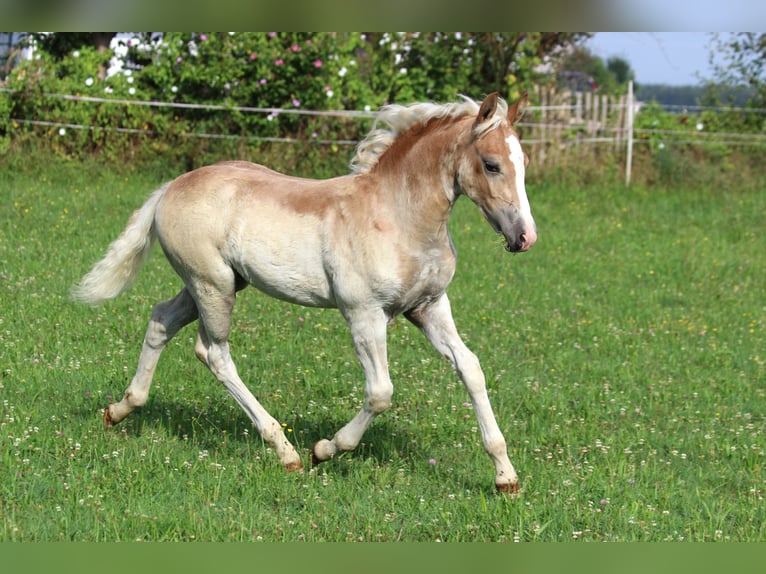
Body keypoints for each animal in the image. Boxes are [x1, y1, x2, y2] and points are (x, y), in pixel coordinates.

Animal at [73, 93, 540, 496]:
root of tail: (170, 187)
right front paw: (324, 450)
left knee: (161, 320)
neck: (399, 217)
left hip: (213, 283)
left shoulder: (429, 307)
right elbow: (380, 393)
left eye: (524, 163)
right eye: (492, 164)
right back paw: (286, 452)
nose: (525, 238)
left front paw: (506, 477)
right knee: (215, 354)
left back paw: (120, 409)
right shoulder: (363, 313)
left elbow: (471, 369)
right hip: (213, 286)